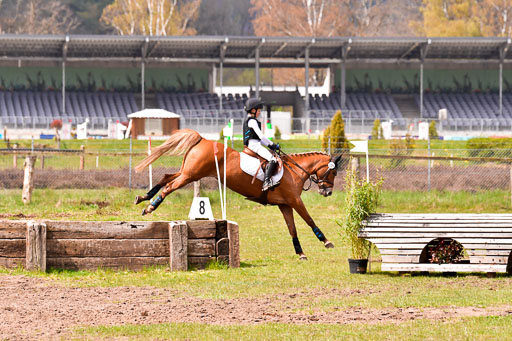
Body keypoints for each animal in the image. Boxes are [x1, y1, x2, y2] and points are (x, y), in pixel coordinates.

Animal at [135, 129, 344, 258]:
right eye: (333, 172)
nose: (328, 192)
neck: (295, 171)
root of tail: (203, 139)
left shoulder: (284, 204)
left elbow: (292, 228)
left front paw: (300, 253)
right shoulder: (295, 200)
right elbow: (310, 220)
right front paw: (326, 241)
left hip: (188, 172)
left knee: (166, 177)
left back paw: (143, 198)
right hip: (190, 175)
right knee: (169, 186)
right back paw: (150, 207)